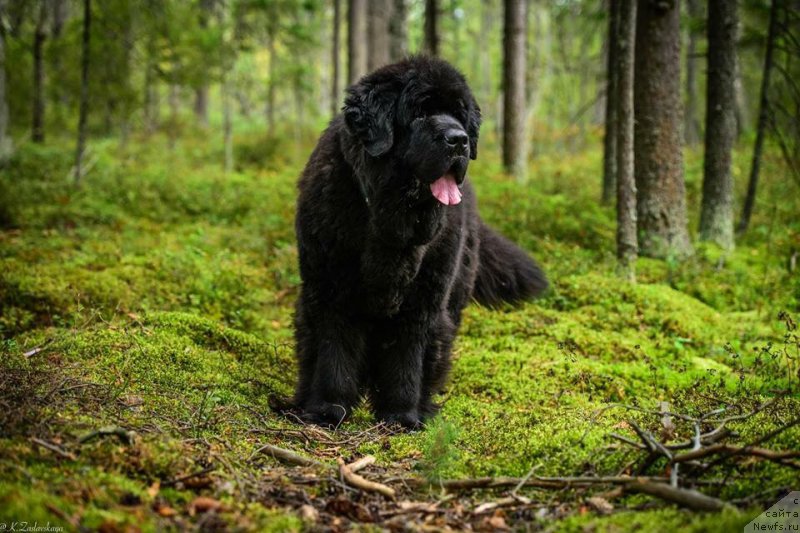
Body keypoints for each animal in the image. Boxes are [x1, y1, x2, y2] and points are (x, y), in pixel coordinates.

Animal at [290, 55, 548, 428]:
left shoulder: (425, 298)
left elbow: (409, 354)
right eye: (419, 112)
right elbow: (332, 347)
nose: (459, 140)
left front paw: (403, 414)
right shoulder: (330, 286)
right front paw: (327, 407)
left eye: (459, 114)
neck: (387, 219)